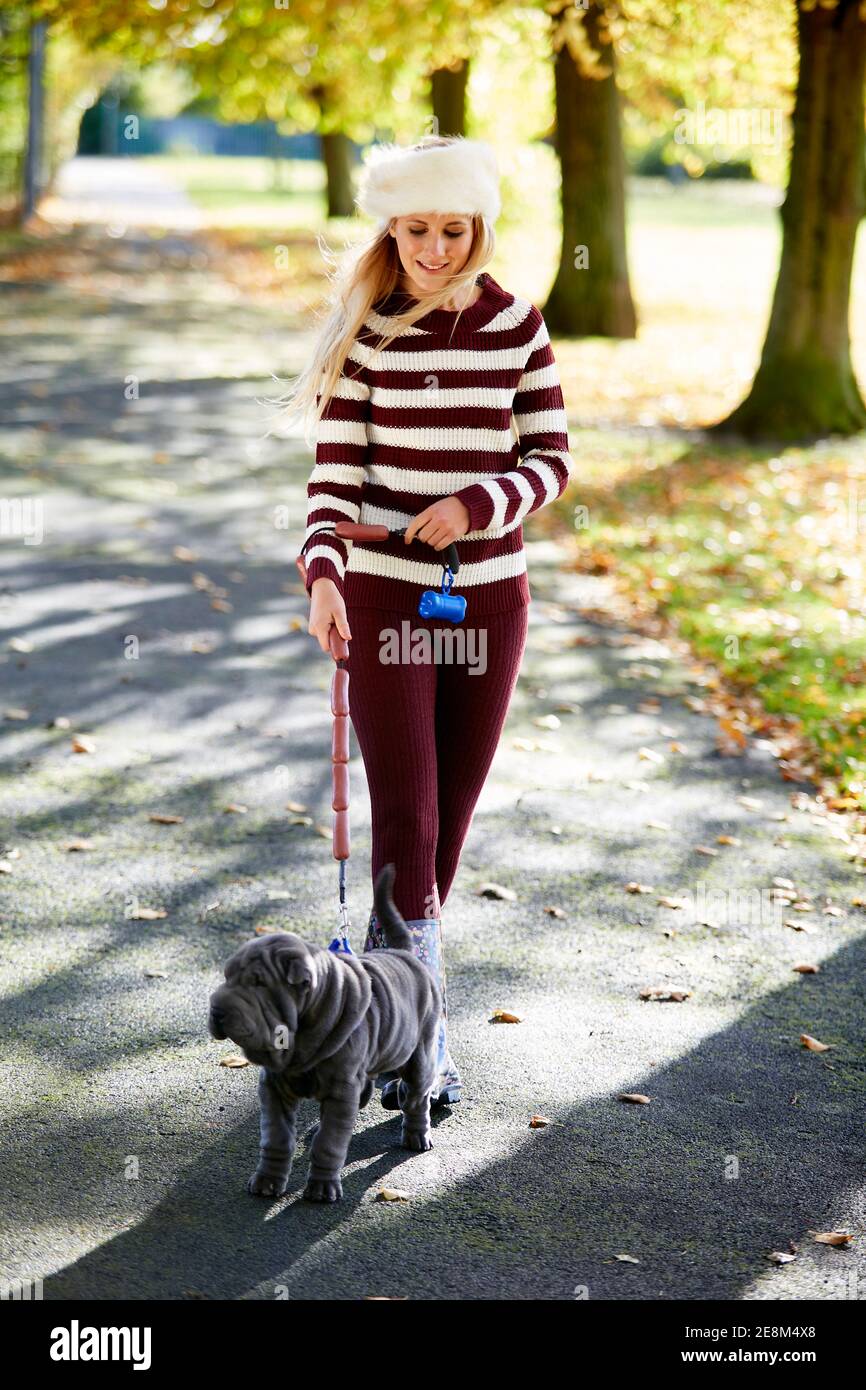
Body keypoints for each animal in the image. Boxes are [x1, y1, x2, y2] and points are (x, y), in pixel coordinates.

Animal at [207, 861, 444, 1200]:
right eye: (227, 976)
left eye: (258, 983)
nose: (216, 1010)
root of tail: (404, 953)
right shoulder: (274, 1087)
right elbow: (276, 1138)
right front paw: (267, 1179)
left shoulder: (340, 1089)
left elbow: (330, 1143)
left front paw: (321, 1186)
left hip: (420, 1054)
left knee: (416, 1097)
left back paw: (416, 1135)